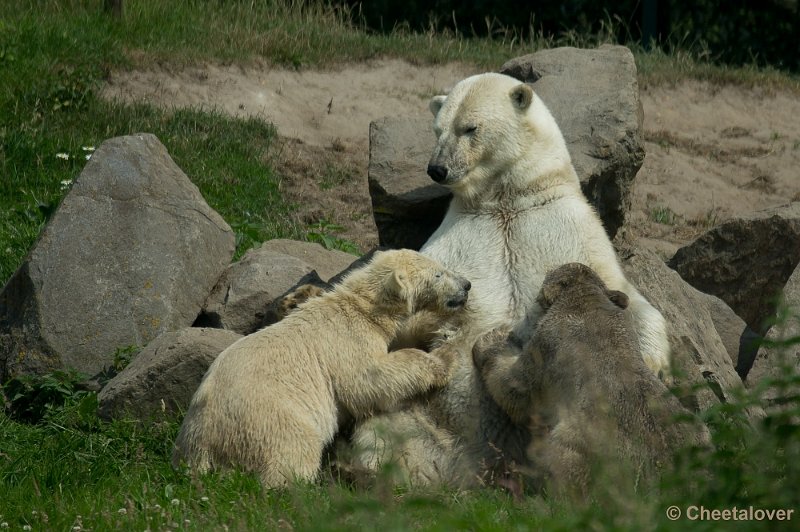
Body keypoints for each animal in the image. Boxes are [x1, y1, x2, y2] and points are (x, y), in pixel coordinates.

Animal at [354, 72, 672, 488]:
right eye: (437, 129)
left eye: (469, 128)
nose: (437, 169)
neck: (506, 200)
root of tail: (476, 467)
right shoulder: (460, 232)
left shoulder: (565, 223)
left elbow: (622, 292)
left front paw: (650, 366)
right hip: (422, 414)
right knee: (381, 435)